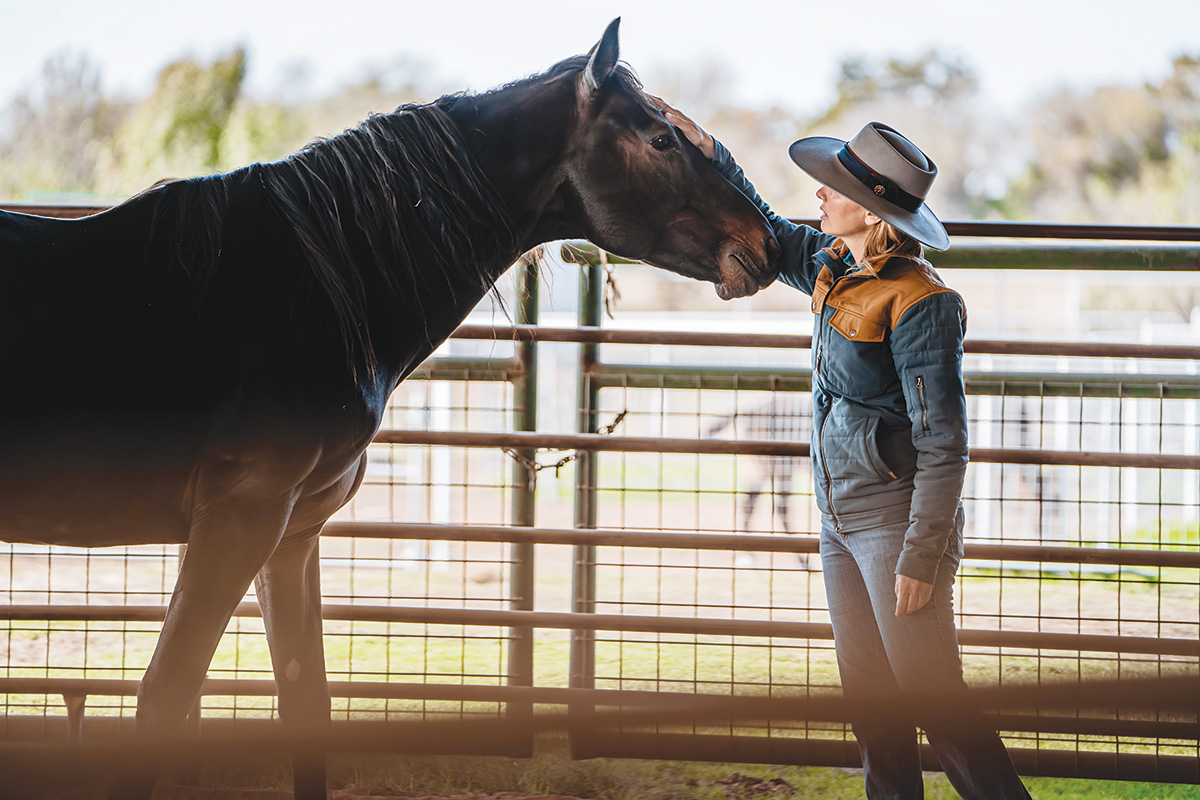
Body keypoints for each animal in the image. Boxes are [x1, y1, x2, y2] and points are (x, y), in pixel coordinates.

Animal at [0, 18, 777, 800]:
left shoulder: (290, 533)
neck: (314, 286)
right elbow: (164, 699)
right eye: (661, 139)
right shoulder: (237, 520)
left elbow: (305, 700)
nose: (766, 242)